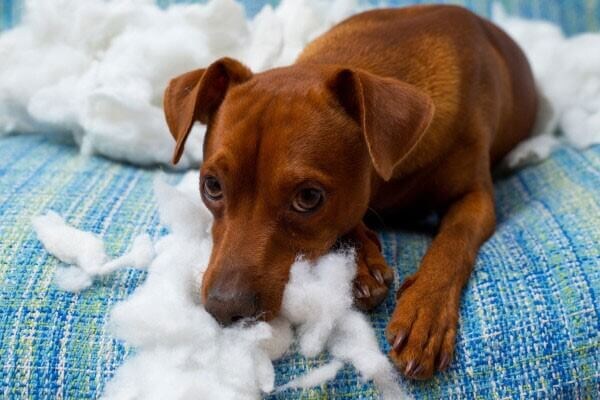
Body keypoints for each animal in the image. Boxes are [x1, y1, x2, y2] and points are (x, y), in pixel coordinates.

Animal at [162, 5, 536, 382]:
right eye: (212, 186)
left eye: (308, 198)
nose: (224, 309)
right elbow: (350, 219)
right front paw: (361, 264)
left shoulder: (477, 199)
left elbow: (453, 241)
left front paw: (425, 312)